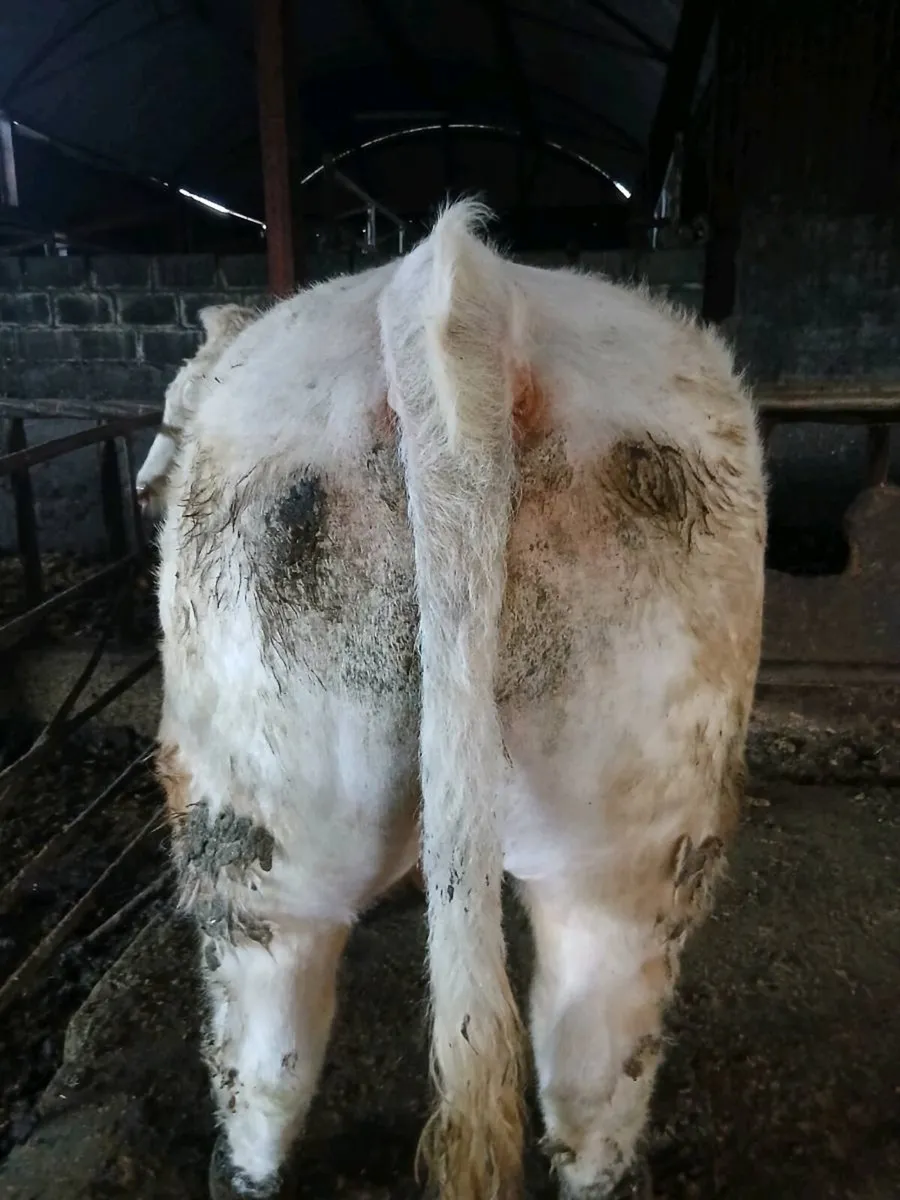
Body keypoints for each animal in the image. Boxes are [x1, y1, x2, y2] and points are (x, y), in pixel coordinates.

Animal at [154, 201, 766, 1200]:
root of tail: (457, 293)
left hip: (246, 792)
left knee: (270, 1012)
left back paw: (237, 1168)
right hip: (635, 806)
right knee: (594, 1038)